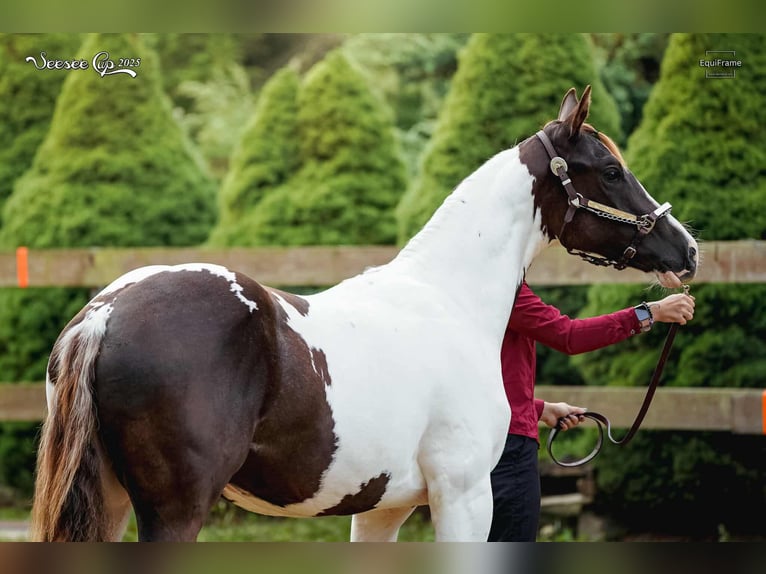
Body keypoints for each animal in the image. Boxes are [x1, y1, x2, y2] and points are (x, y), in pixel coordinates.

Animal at [30, 86, 698, 542]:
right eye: (611, 170)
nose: (687, 249)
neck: (451, 299)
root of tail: (104, 314)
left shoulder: (385, 509)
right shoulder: (463, 496)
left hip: (112, 503)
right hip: (174, 512)